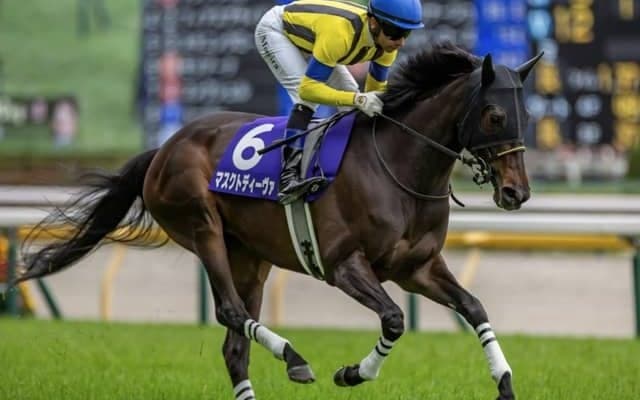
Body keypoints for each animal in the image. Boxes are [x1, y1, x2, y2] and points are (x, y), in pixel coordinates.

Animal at [16, 43, 541, 400]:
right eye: (495, 115)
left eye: (527, 117)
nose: (516, 192)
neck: (399, 167)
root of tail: (163, 148)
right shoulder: (344, 265)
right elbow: (393, 319)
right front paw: (352, 373)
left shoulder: (417, 268)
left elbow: (474, 307)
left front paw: (505, 381)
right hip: (201, 226)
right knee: (231, 312)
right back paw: (295, 357)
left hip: (251, 258)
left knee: (234, 347)